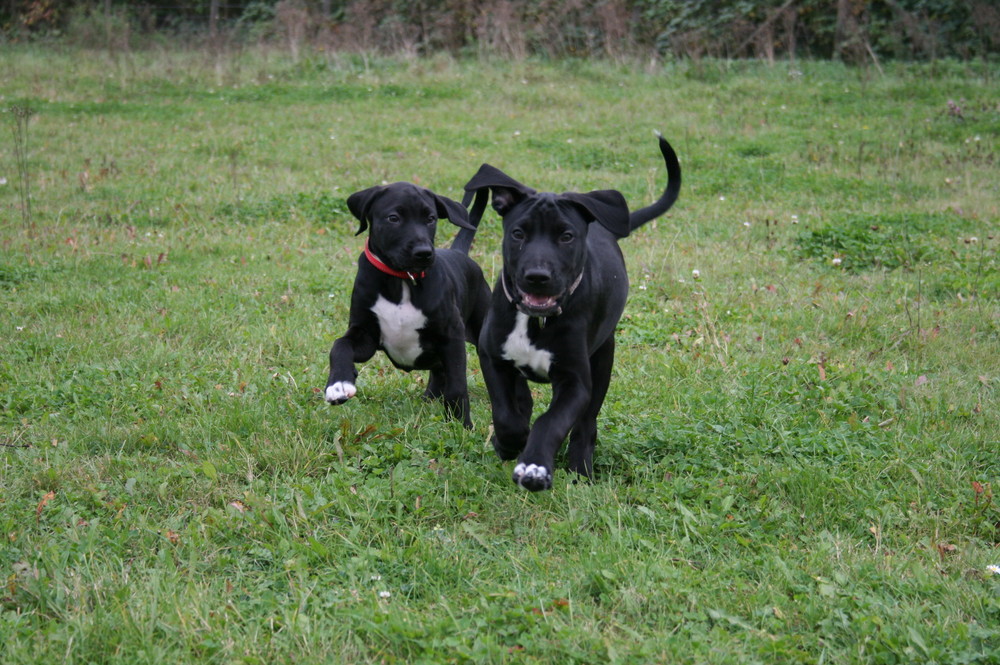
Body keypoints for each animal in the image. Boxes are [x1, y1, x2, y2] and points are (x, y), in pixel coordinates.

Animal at [326, 183, 490, 426]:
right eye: (393, 218)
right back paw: (429, 398)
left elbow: (457, 384)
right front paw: (338, 385)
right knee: (438, 370)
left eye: (431, 218)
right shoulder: (365, 334)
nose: (423, 253)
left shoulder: (451, 336)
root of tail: (459, 252)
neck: (402, 280)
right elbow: (340, 345)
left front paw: (461, 425)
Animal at [464, 135, 684, 488]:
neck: (536, 320)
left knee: (586, 423)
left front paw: (535, 466)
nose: (537, 276)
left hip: (604, 358)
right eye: (518, 233)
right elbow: (506, 414)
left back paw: (580, 467)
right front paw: (508, 442)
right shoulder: (492, 357)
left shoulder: (576, 381)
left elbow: (551, 422)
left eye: (566, 236)